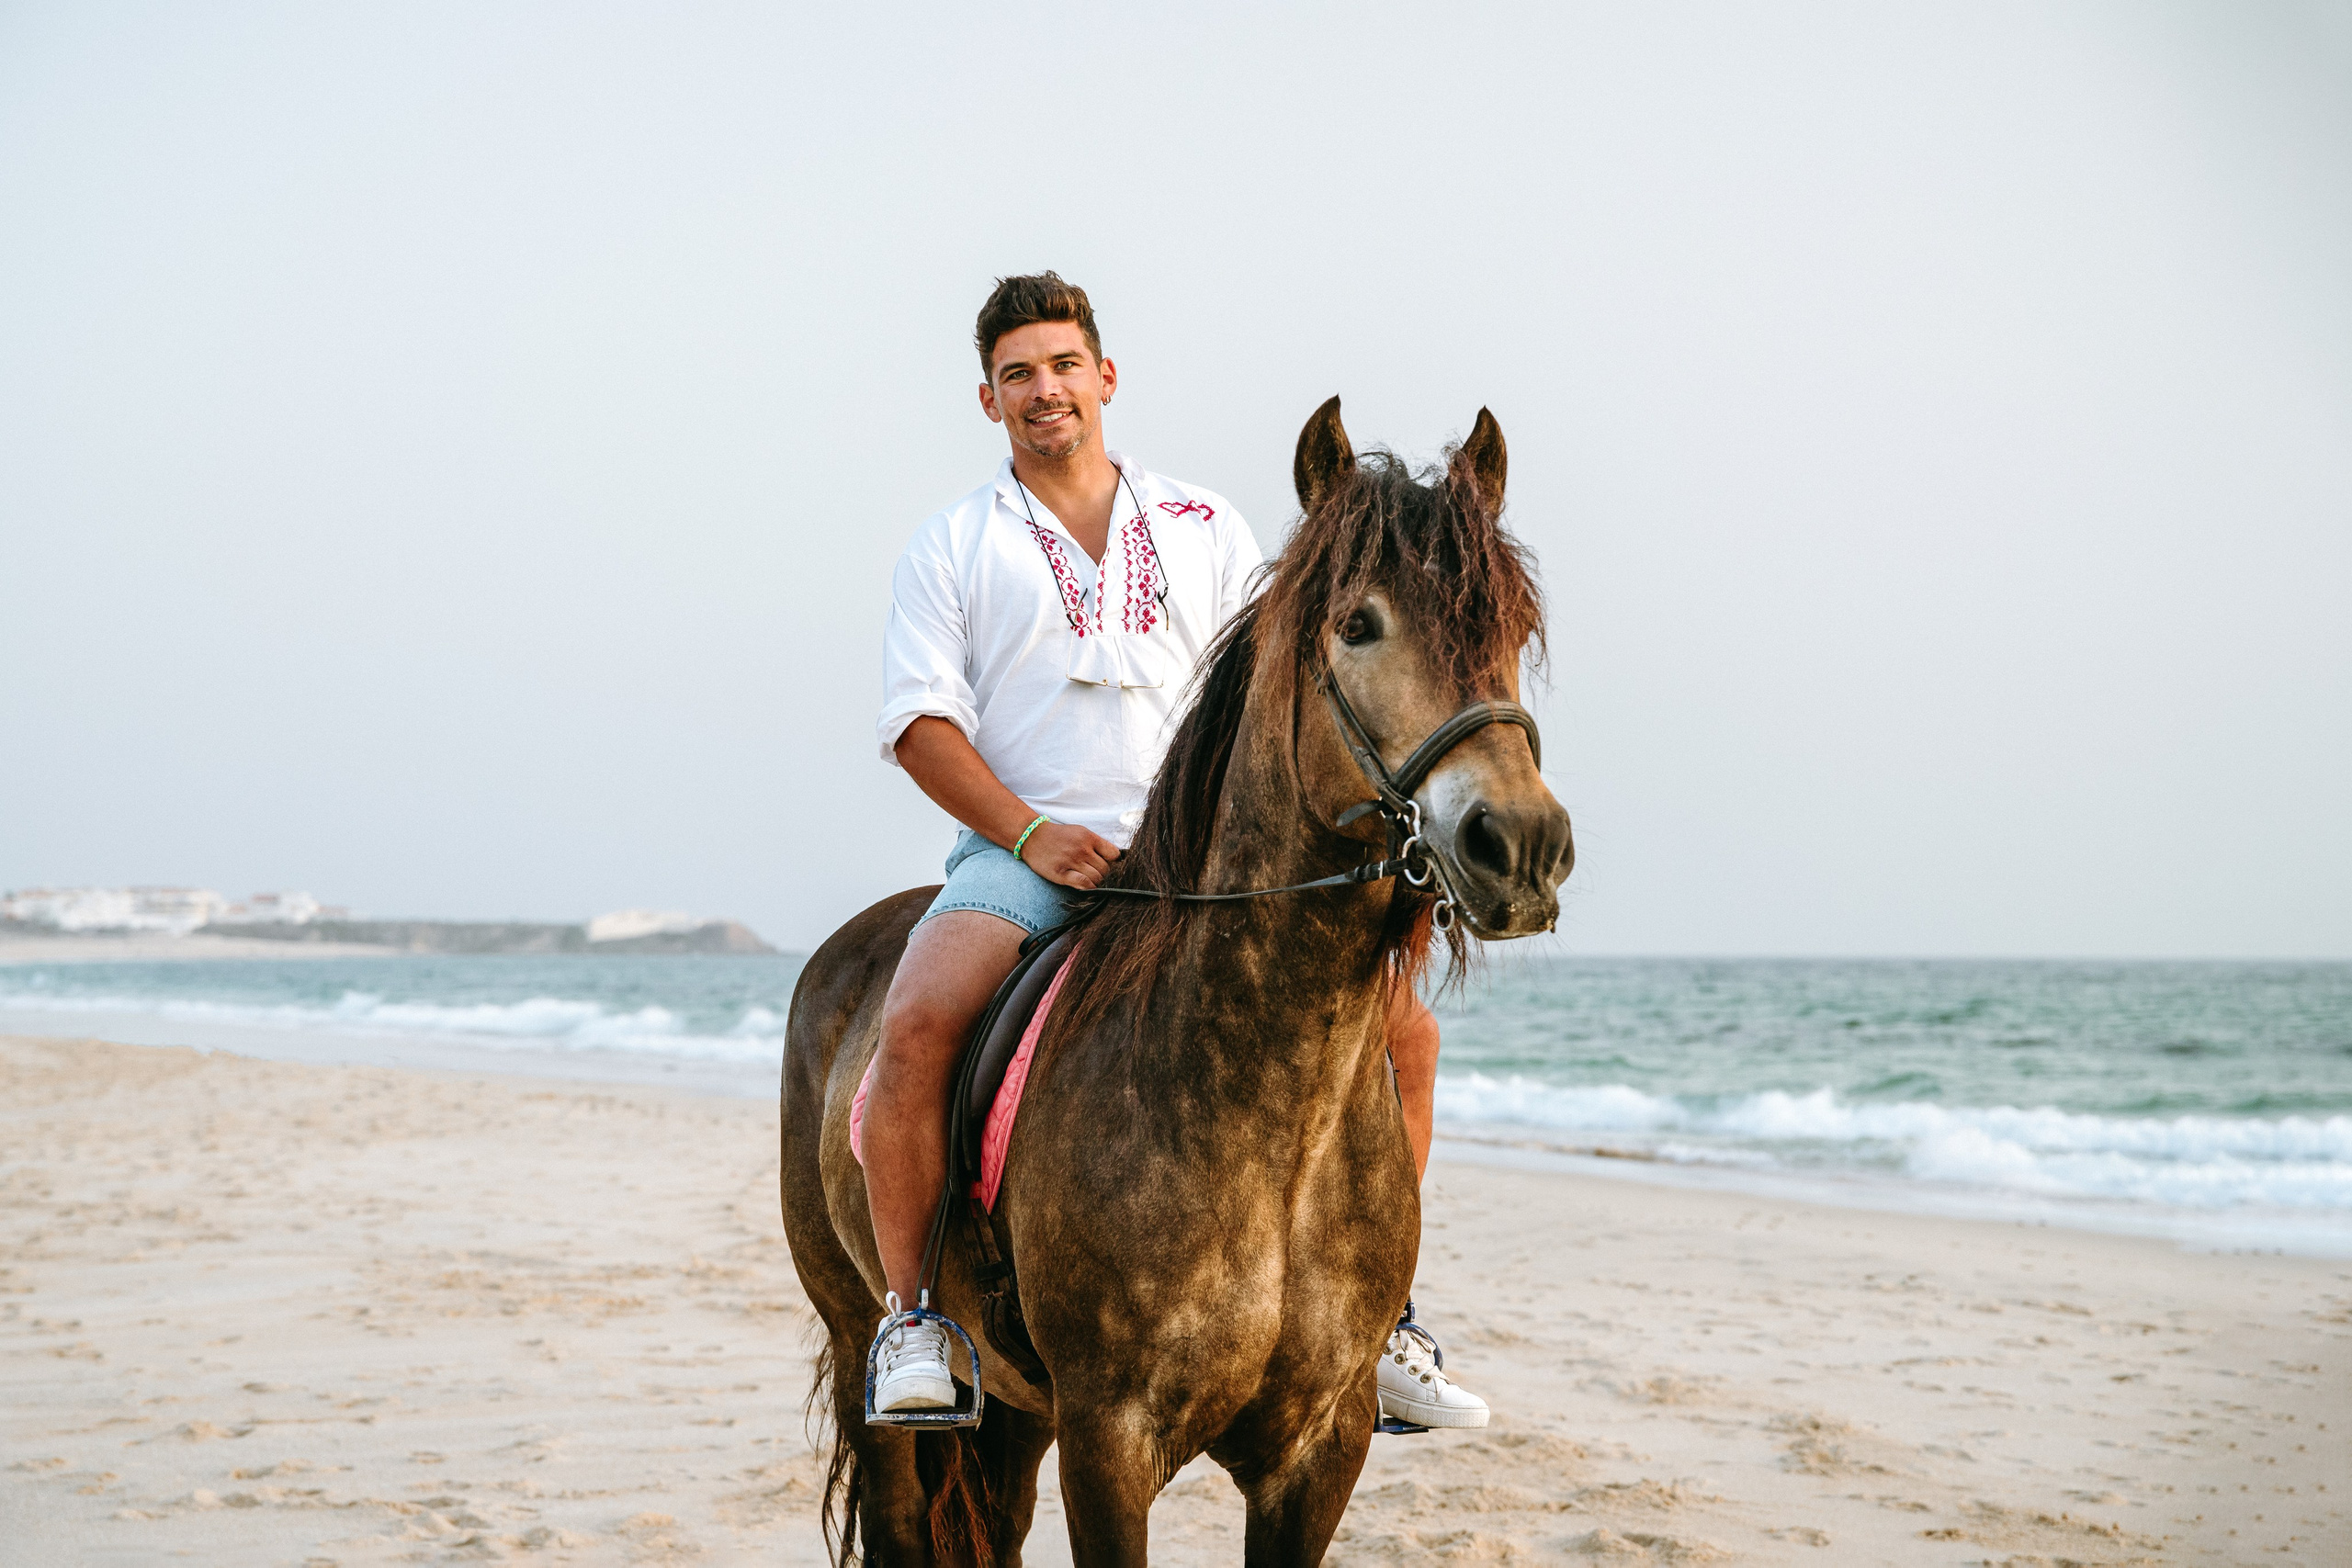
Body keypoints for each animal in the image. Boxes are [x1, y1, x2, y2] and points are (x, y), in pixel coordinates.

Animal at [779, 396, 1574, 1565]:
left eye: (1512, 630)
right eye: (1358, 625)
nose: (1518, 846)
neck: (1267, 1112)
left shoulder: (1318, 1452)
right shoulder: (1109, 1441)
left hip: (1017, 1412)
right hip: (862, 1344)